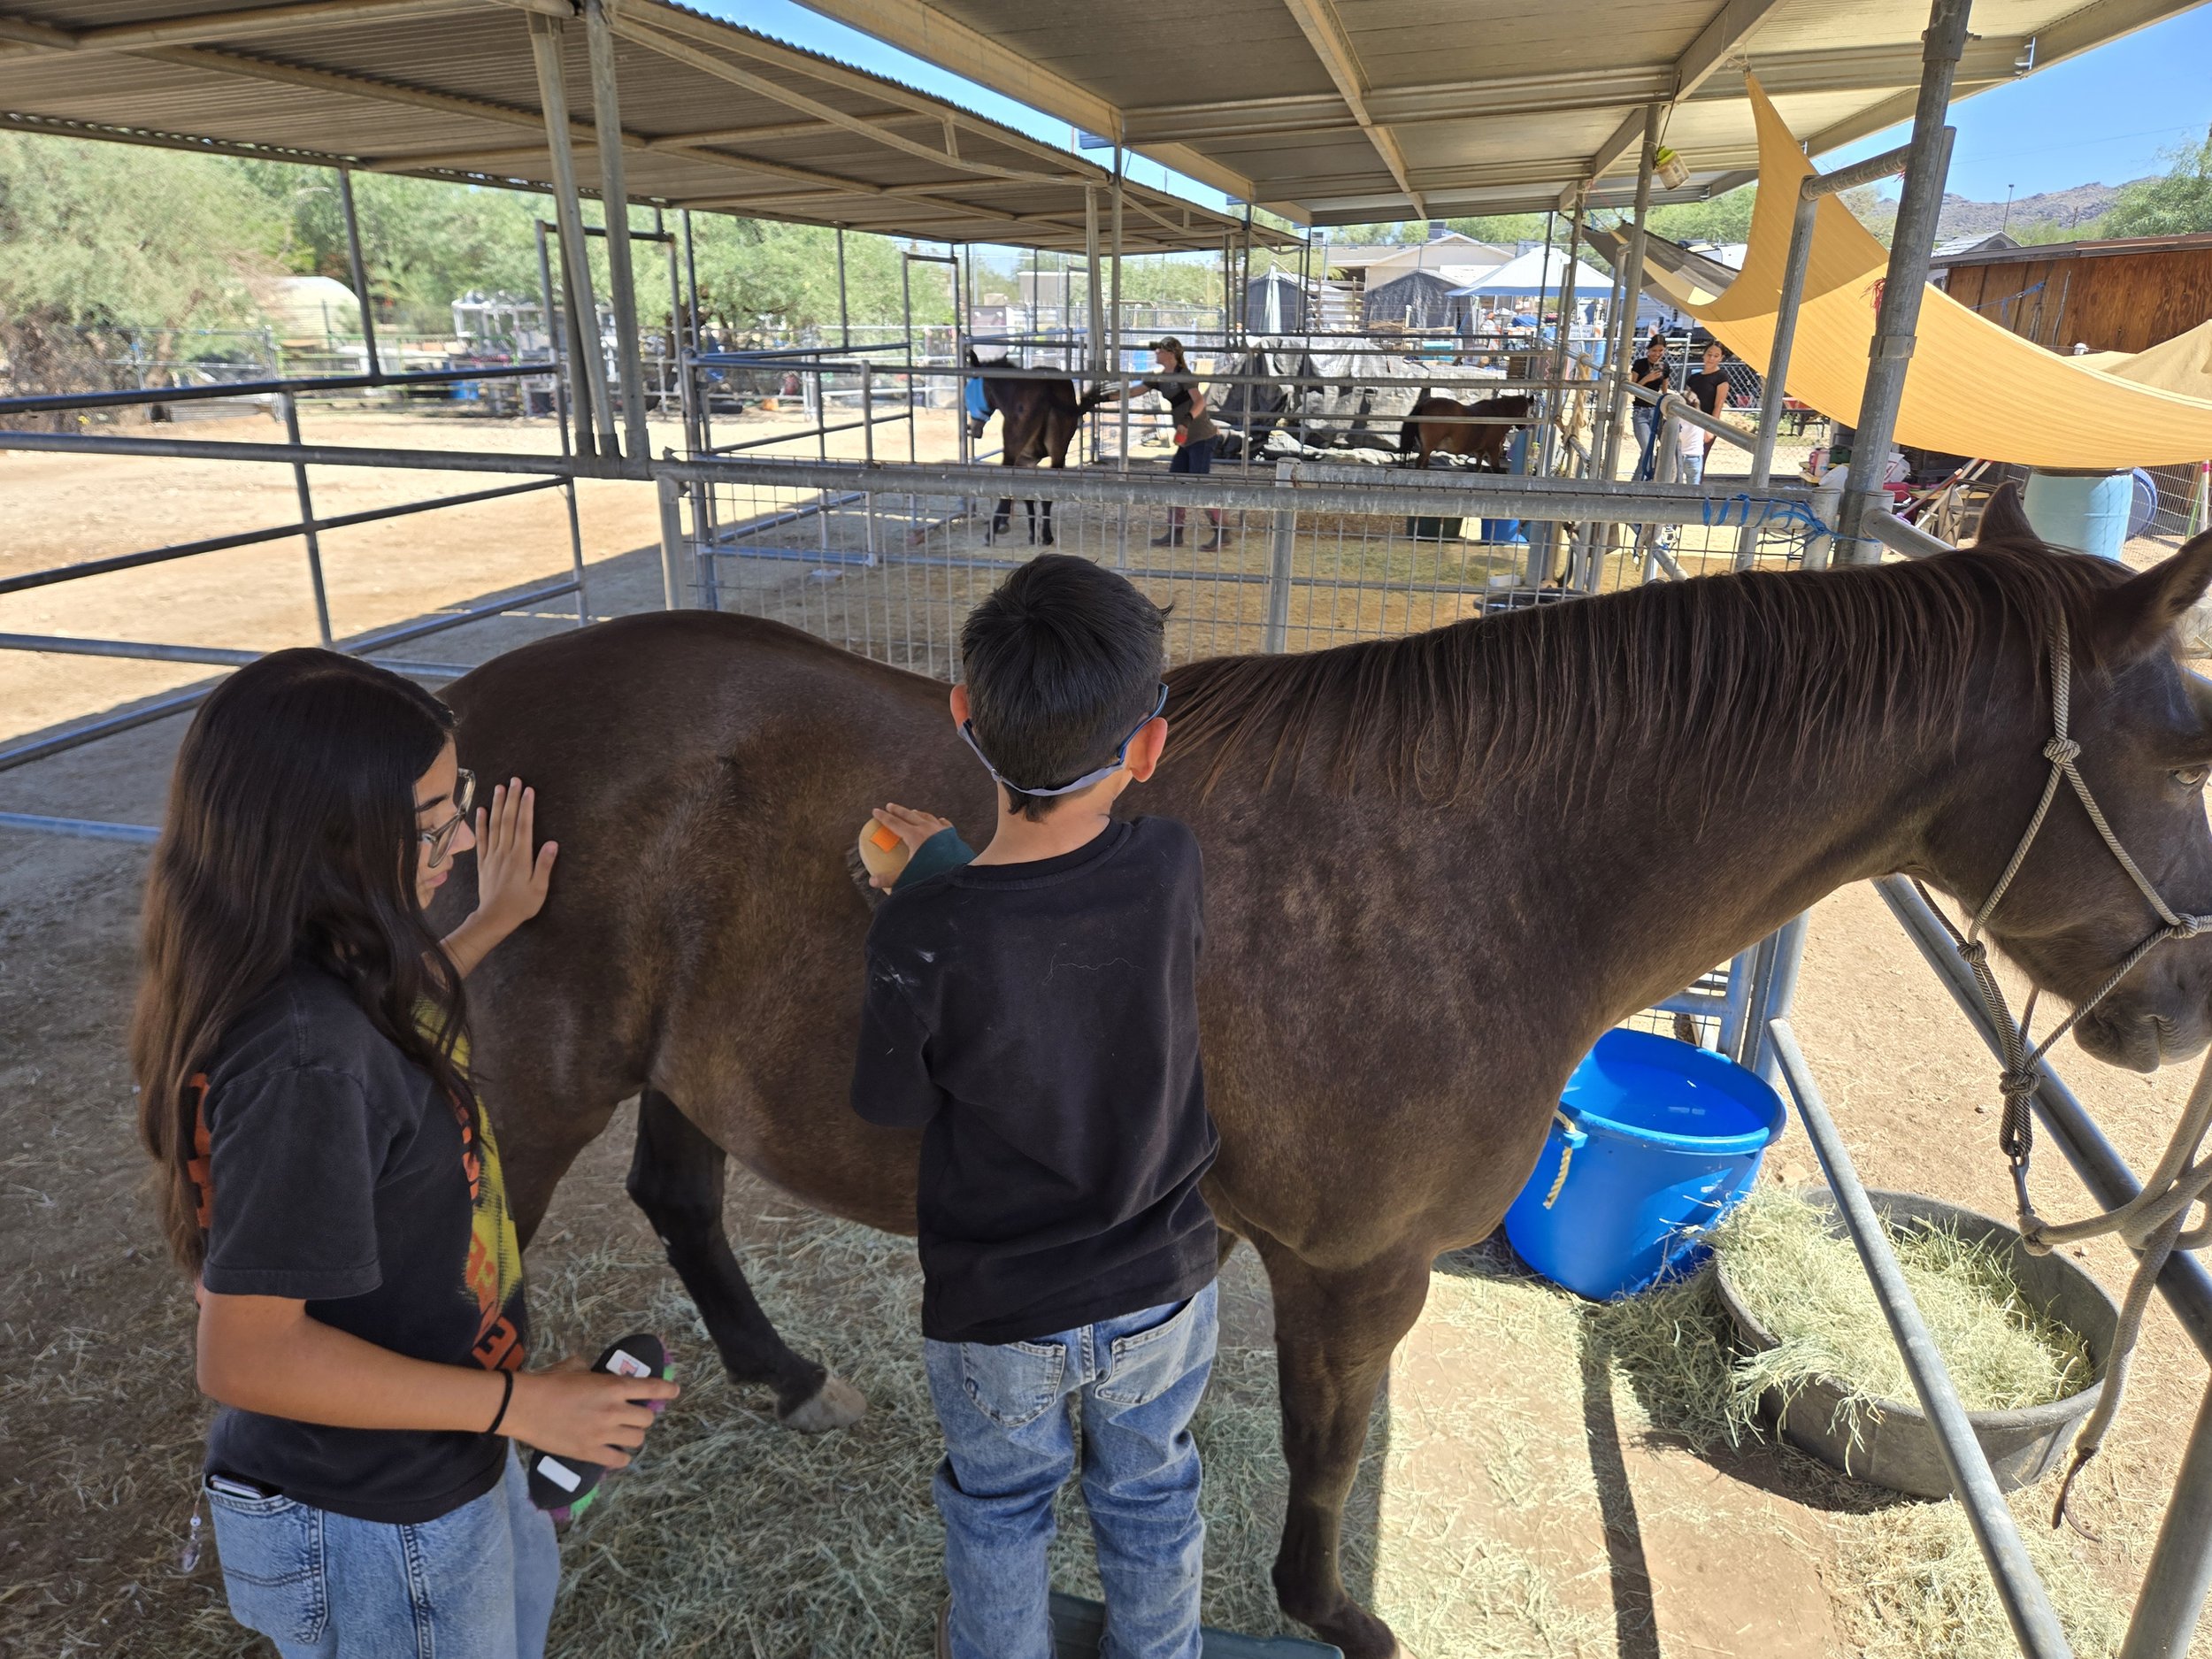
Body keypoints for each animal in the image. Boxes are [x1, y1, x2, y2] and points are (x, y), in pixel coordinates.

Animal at [436, 490, 2212, 1658]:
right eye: (2190, 746)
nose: (2186, 1003)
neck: (1496, 871)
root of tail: (457, 718)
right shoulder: (1354, 1270)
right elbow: (1332, 1450)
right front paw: (1332, 1613)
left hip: (682, 1068)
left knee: (679, 1200)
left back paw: (786, 1374)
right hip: (521, 1096)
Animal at [965, 347, 1116, 545]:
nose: (973, 429)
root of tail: (1048, 389)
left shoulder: (1021, 458)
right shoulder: (1028, 461)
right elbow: (1031, 495)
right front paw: (1032, 533)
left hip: (1012, 450)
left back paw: (992, 532)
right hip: (1059, 454)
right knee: (1050, 494)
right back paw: (1046, 535)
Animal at [1399, 391, 1533, 470]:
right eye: (1527, 410)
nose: (1523, 427)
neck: (1497, 414)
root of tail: (1425, 403)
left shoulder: (1479, 451)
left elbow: (1478, 467)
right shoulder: (1493, 448)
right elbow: (1495, 468)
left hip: (1426, 446)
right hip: (1428, 446)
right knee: (1420, 461)